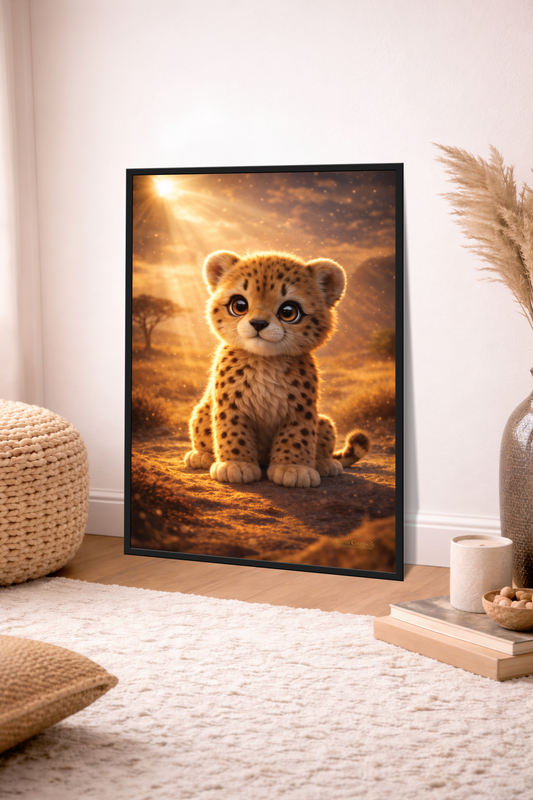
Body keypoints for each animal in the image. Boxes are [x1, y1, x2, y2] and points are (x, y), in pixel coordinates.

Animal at [184, 250, 370, 488]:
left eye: (288, 311)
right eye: (239, 305)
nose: (258, 324)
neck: (265, 361)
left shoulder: (300, 408)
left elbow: (297, 437)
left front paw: (294, 468)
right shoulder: (230, 405)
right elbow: (231, 430)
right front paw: (236, 464)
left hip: (324, 421)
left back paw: (324, 463)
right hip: (202, 411)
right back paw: (202, 456)